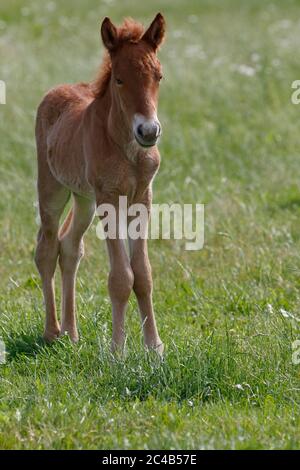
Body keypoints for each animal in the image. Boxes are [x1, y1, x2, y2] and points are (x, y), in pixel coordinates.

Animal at [35, 12, 166, 354]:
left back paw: (72, 333)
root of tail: (56, 90)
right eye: (119, 79)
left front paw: (154, 348)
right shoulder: (110, 198)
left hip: (84, 199)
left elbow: (143, 274)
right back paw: (52, 331)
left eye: (158, 76)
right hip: (52, 189)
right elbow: (121, 277)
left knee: (69, 247)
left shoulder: (142, 199)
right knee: (46, 248)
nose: (148, 131)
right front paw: (117, 351)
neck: (127, 149)